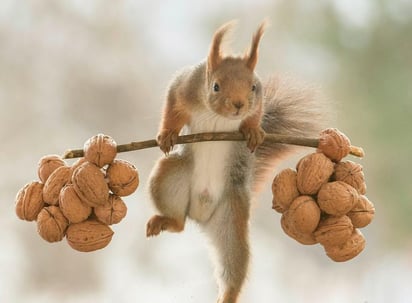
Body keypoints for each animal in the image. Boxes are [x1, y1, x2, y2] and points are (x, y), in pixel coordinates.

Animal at [145, 21, 328, 303]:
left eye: (253, 86)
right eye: (216, 86)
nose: (239, 105)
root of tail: (200, 214)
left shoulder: (258, 99)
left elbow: (256, 115)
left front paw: (253, 131)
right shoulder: (184, 85)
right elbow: (172, 107)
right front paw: (167, 135)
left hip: (232, 218)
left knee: (233, 266)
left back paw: (227, 295)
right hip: (169, 177)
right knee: (178, 223)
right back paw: (168, 221)